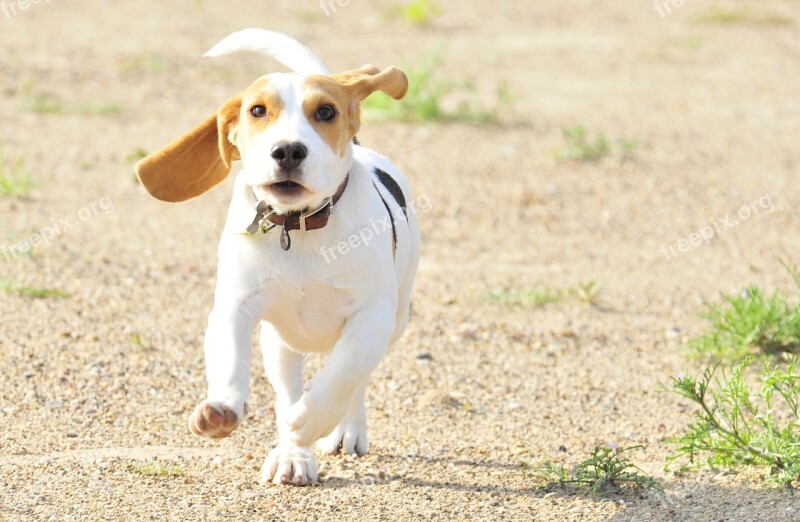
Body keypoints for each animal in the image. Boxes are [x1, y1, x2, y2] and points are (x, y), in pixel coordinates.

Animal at [136, 28, 424, 484]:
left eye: (325, 111)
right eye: (257, 111)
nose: (288, 150)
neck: (299, 226)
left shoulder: (372, 316)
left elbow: (346, 370)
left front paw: (314, 418)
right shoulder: (234, 307)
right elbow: (231, 359)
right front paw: (222, 408)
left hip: (396, 319)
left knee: (356, 380)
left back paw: (342, 430)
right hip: (280, 343)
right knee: (287, 388)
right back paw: (292, 454)